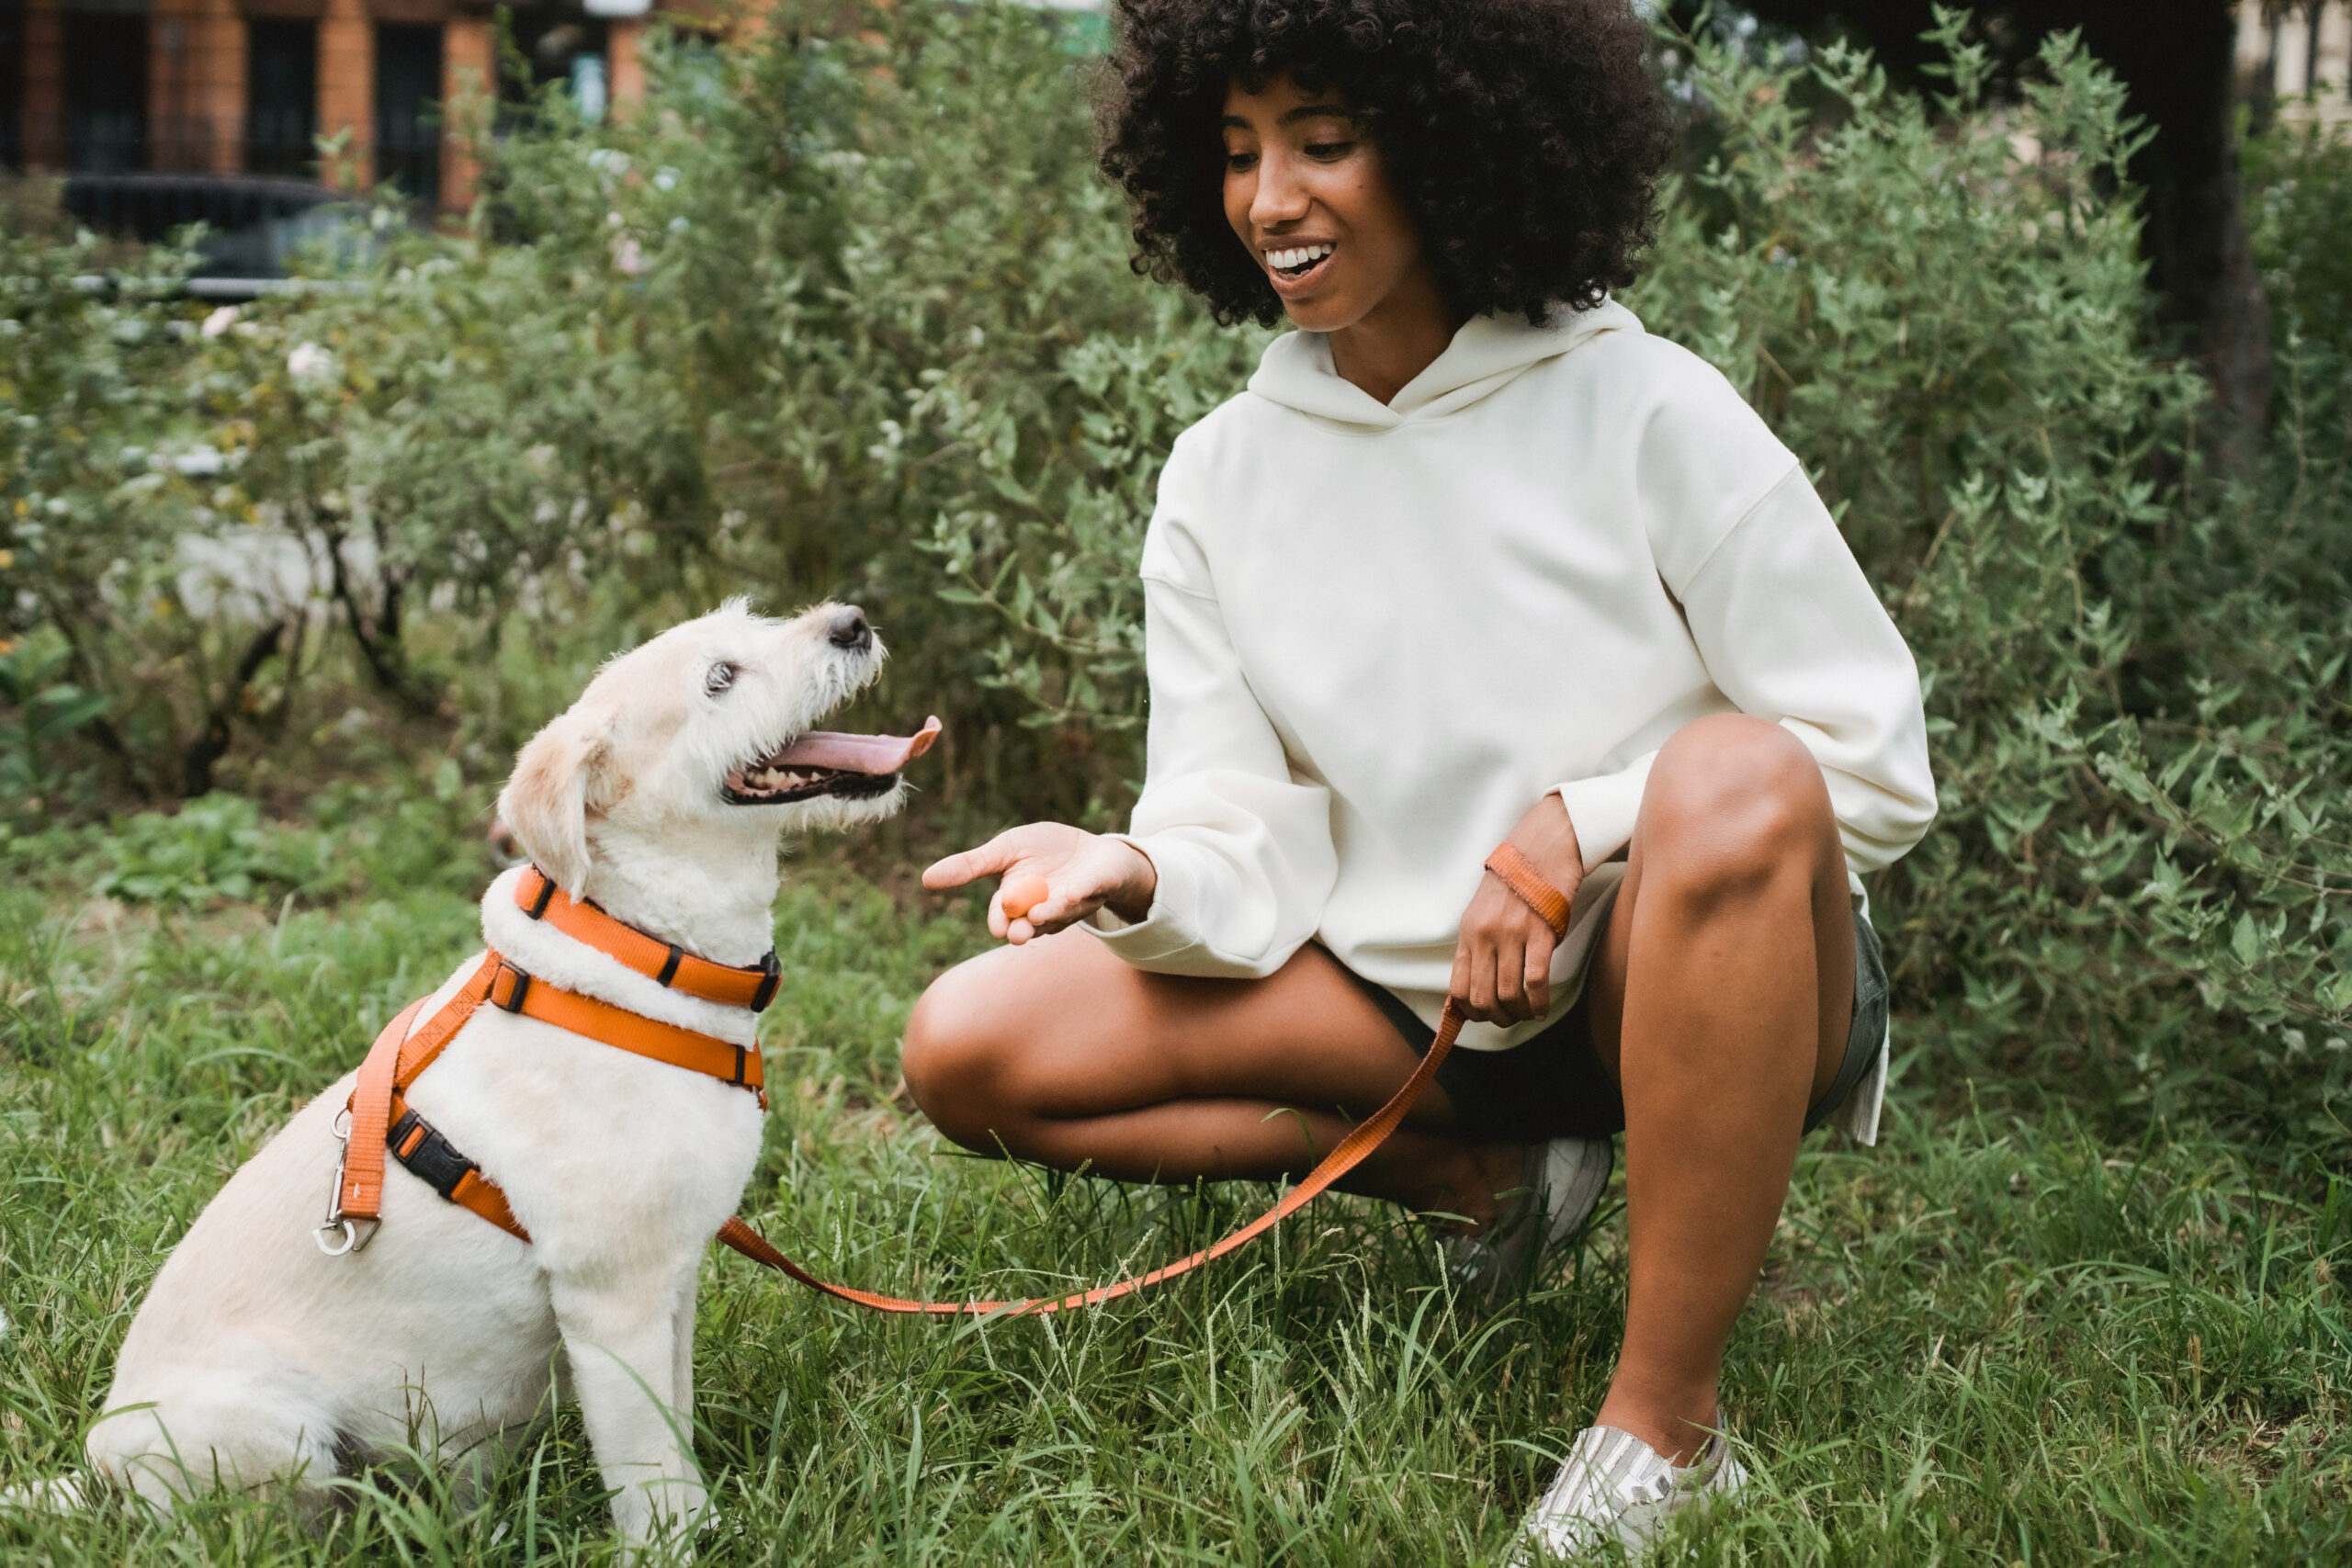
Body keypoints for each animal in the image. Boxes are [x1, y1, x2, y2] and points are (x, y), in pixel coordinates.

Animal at [48, 597, 926, 1541]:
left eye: (756, 619)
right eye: (719, 678)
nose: (852, 620)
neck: (644, 954)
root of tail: (93, 1477)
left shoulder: (674, 1282)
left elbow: (679, 1428)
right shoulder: (612, 1302)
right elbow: (654, 1479)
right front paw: (680, 1544)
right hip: (275, 1434)